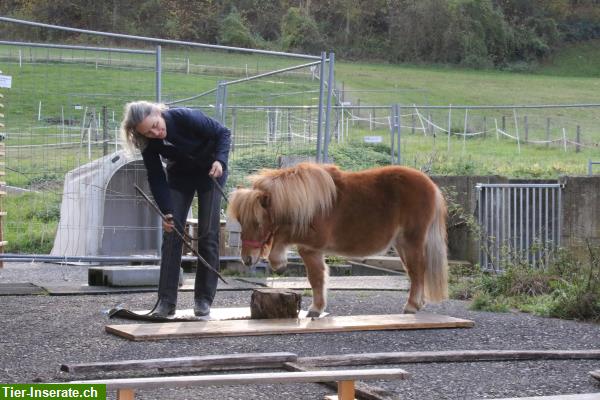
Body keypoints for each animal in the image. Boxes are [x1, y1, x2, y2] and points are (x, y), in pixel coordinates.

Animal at [227, 162, 448, 316]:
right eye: (241, 222)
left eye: (257, 223)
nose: (247, 259)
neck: (309, 203)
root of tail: (431, 185)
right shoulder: (312, 250)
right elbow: (317, 278)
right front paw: (317, 308)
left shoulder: (311, 243)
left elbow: (309, 270)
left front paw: (280, 264)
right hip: (402, 244)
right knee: (413, 271)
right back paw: (417, 303)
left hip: (412, 240)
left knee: (418, 270)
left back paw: (411, 306)